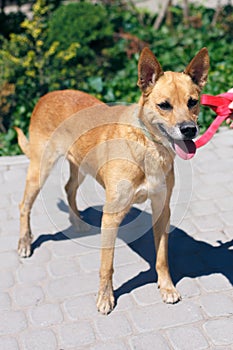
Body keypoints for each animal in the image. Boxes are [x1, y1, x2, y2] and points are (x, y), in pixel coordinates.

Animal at [15, 47, 209, 314]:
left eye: (193, 102)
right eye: (164, 105)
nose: (189, 130)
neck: (149, 147)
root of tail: (48, 94)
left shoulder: (162, 209)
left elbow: (162, 258)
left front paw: (167, 287)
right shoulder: (112, 215)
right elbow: (107, 265)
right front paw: (105, 297)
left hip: (81, 165)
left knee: (69, 188)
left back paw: (78, 222)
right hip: (40, 169)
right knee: (25, 205)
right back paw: (25, 242)